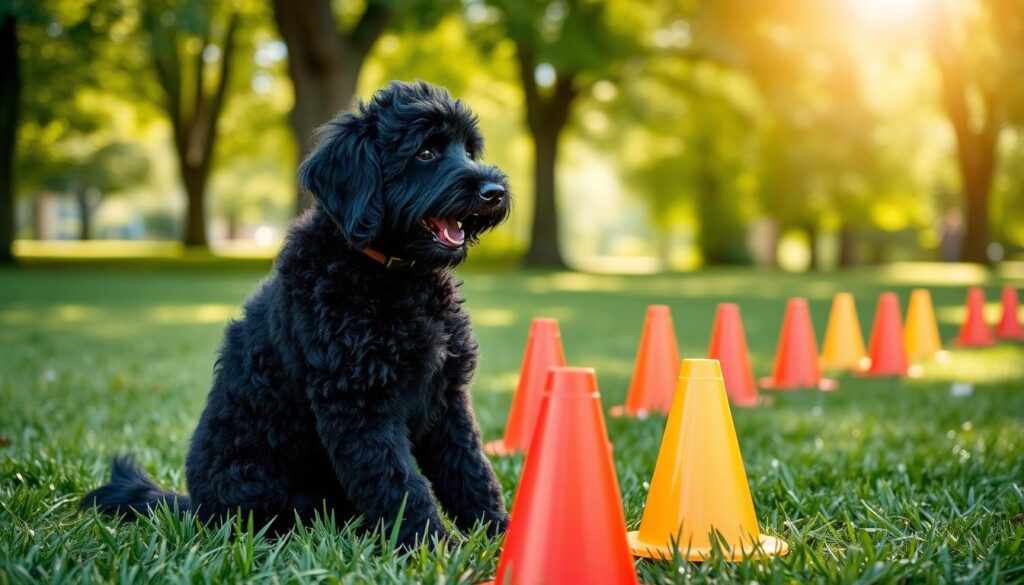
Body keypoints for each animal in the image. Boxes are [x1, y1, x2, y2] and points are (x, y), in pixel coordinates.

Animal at [81, 79, 512, 549]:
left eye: (468, 149)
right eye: (426, 152)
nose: (495, 192)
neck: (396, 278)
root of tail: (195, 506)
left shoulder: (447, 399)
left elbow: (471, 472)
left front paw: (502, 535)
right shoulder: (360, 407)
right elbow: (399, 485)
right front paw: (432, 548)